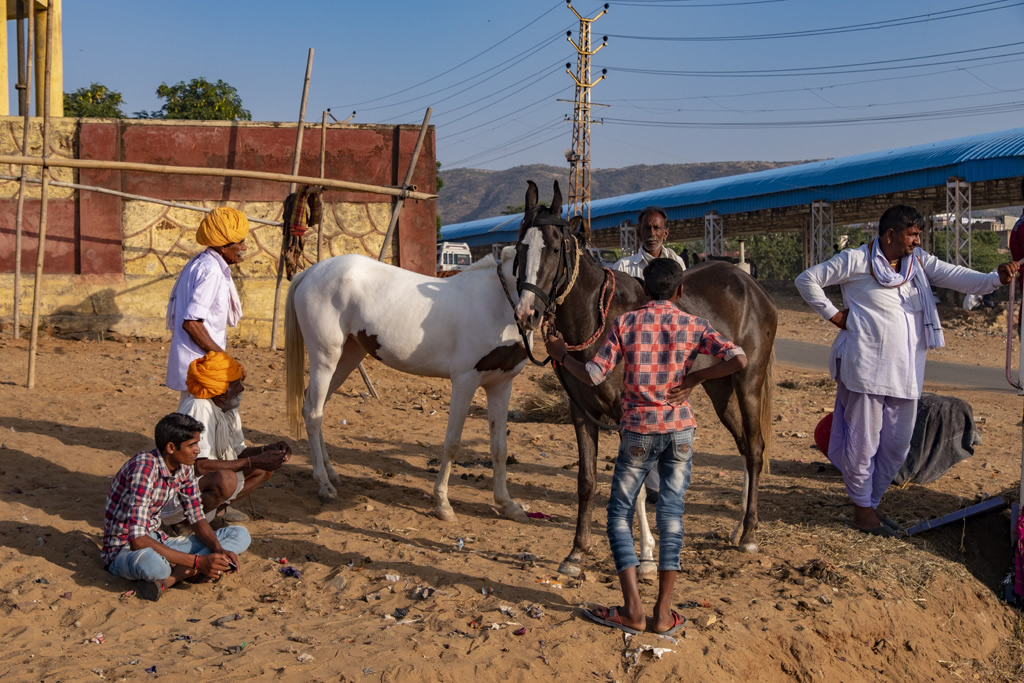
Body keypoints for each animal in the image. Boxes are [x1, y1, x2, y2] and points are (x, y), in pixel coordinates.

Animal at [286, 248, 532, 520]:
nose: (530, 313)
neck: (496, 300)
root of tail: (309, 272)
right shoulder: (465, 381)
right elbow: (452, 442)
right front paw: (443, 504)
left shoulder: (501, 384)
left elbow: (499, 447)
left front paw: (508, 504)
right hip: (325, 358)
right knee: (313, 413)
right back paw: (324, 485)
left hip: (347, 357)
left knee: (317, 407)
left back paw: (331, 474)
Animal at [512, 180, 774, 577]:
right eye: (520, 247)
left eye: (556, 248)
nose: (527, 314)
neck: (597, 318)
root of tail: (751, 286)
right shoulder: (581, 413)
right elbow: (587, 480)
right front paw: (577, 551)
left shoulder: (628, 416)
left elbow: (632, 485)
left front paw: (648, 555)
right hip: (720, 390)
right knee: (745, 447)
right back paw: (739, 526)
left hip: (748, 383)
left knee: (756, 449)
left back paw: (749, 534)